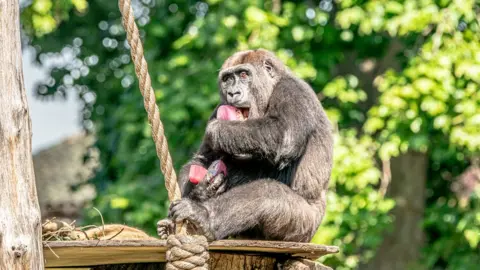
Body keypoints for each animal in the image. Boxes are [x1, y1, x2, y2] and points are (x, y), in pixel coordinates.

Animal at [158, 48, 334, 243]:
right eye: (227, 79)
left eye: (243, 74)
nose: (233, 93)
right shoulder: (219, 106)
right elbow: (199, 161)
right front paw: (202, 189)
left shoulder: (293, 90)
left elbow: (283, 134)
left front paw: (217, 129)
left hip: (305, 226)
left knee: (267, 193)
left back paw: (203, 217)